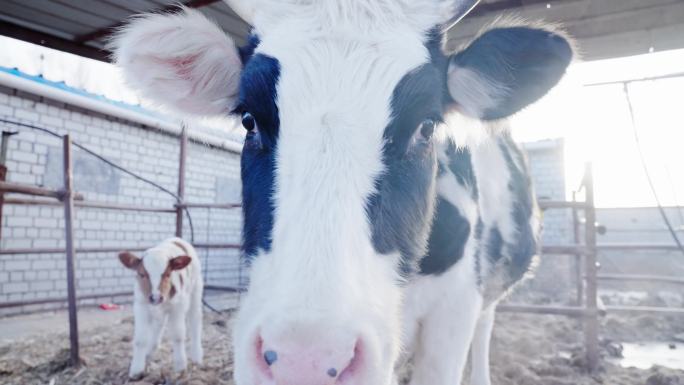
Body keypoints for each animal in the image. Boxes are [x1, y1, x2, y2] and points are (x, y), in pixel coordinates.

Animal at [118, 237, 203, 378]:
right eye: (141, 274)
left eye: (168, 274)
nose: (156, 297)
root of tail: (177, 239)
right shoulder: (141, 305)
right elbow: (140, 339)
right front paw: (136, 369)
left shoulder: (178, 306)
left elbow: (178, 335)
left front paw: (180, 366)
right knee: (160, 323)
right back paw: (150, 349)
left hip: (196, 289)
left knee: (195, 321)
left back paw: (197, 356)